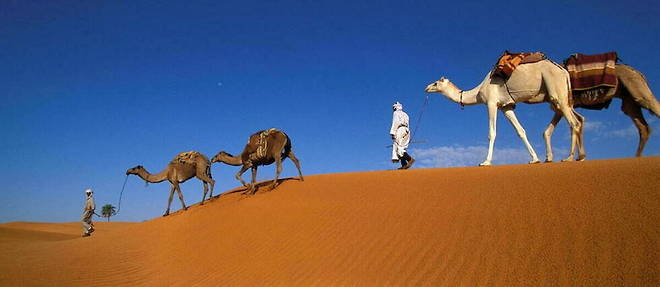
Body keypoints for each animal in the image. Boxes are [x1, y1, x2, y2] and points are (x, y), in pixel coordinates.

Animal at [422, 58, 584, 166]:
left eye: (436, 83)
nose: (426, 88)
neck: (479, 91)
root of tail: (564, 71)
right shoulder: (506, 106)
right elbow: (520, 131)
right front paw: (534, 159)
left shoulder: (491, 103)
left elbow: (492, 133)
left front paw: (486, 161)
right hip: (557, 96)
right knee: (574, 118)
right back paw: (570, 157)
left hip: (555, 89)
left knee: (574, 122)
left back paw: (572, 157)